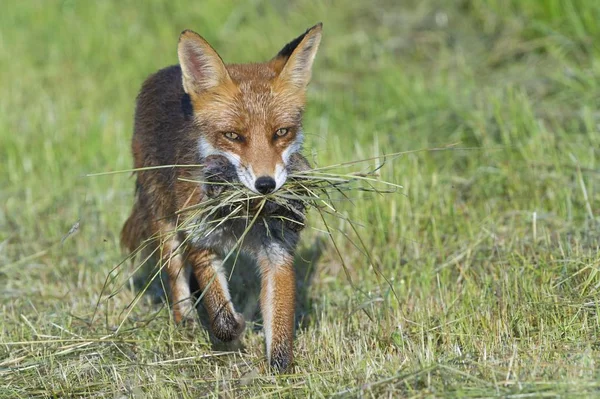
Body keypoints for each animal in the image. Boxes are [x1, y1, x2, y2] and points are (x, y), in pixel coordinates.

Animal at [120, 22, 324, 372]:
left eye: (281, 133)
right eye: (232, 136)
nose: (266, 185)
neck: (244, 214)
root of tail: (167, 71)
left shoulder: (277, 246)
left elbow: (280, 320)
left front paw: (281, 370)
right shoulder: (201, 237)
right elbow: (221, 314)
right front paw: (233, 329)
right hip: (164, 222)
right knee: (176, 276)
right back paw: (187, 323)